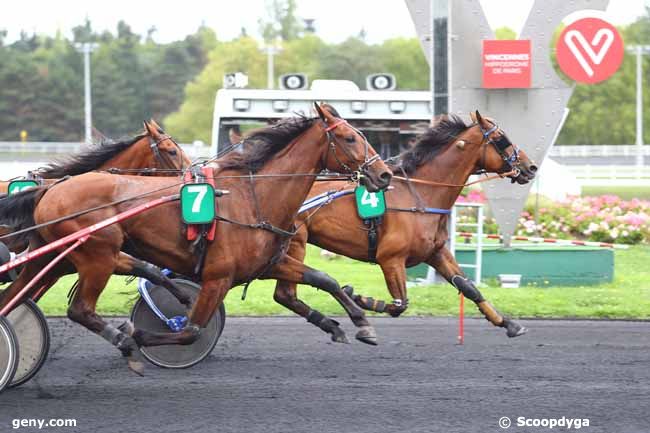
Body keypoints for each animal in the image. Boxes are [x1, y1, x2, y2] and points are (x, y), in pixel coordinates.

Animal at [0, 103, 390, 372]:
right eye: (350, 137)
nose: (384, 175)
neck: (252, 198)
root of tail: (52, 189)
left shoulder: (268, 264)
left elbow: (325, 279)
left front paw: (357, 324)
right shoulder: (218, 277)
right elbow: (190, 330)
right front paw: (138, 333)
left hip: (59, 257)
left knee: (16, 295)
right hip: (97, 254)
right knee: (79, 309)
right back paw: (123, 342)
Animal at [268, 110, 536, 340]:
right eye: (501, 139)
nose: (530, 167)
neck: (421, 195)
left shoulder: (436, 252)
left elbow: (469, 287)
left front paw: (508, 323)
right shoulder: (391, 259)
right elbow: (400, 305)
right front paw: (359, 298)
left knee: (285, 294)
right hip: (295, 244)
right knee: (285, 293)